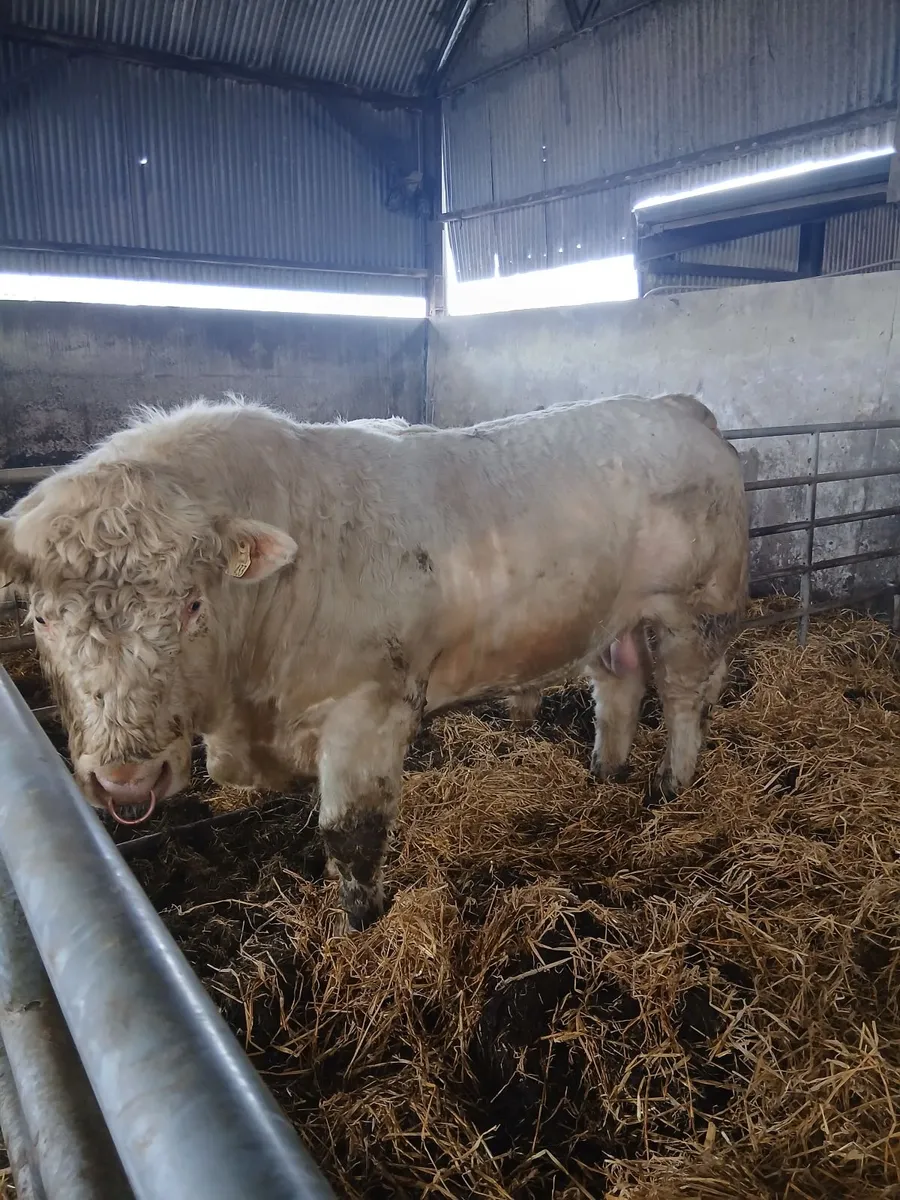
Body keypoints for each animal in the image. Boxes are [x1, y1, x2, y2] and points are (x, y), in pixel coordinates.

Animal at [0, 393, 748, 931]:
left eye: (191, 604)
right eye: (40, 615)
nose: (125, 778)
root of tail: (677, 405)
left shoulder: (370, 708)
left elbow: (349, 832)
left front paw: (361, 925)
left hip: (695, 609)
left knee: (682, 696)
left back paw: (669, 786)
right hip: (610, 619)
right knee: (619, 686)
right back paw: (604, 772)